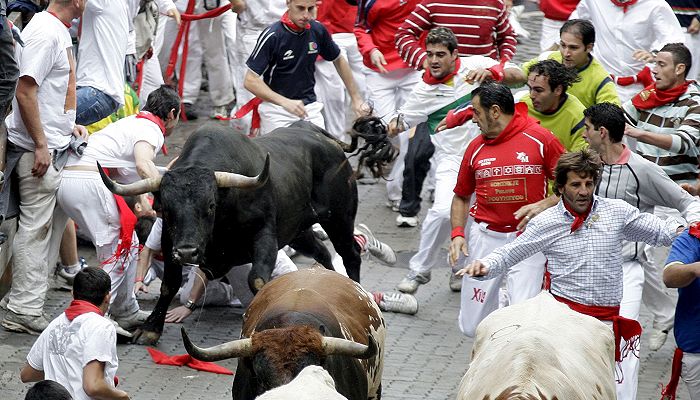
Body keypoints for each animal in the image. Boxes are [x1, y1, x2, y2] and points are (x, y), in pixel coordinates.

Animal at [98, 119, 394, 344]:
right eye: (167, 209)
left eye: (210, 205)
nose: (188, 252)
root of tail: (318, 135)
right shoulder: (170, 239)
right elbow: (169, 284)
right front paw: (150, 328)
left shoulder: (265, 237)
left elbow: (258, 281)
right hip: (299, 231)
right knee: (322, 252)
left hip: (340, 218)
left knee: (350, 254)